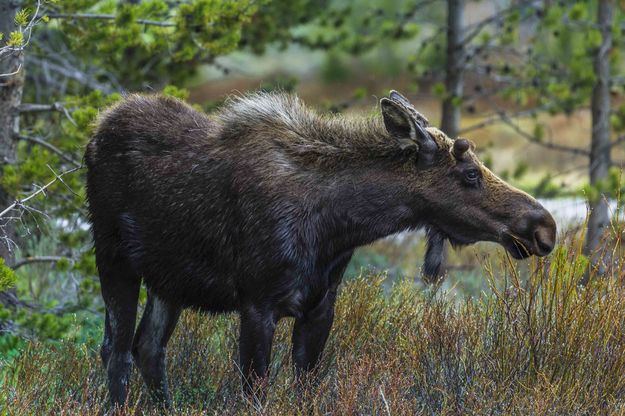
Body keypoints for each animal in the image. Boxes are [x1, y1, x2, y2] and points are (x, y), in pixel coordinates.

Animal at [84, 90, 556, 406]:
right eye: (471, 174)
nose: (543, 226)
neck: (338, 226)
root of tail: (95, 133)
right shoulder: (257, 303)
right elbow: (255, 392)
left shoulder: (319, 306)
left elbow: (305, 390)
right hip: (113, 258)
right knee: (116, 352)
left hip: (169, 280)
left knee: (148, 349)